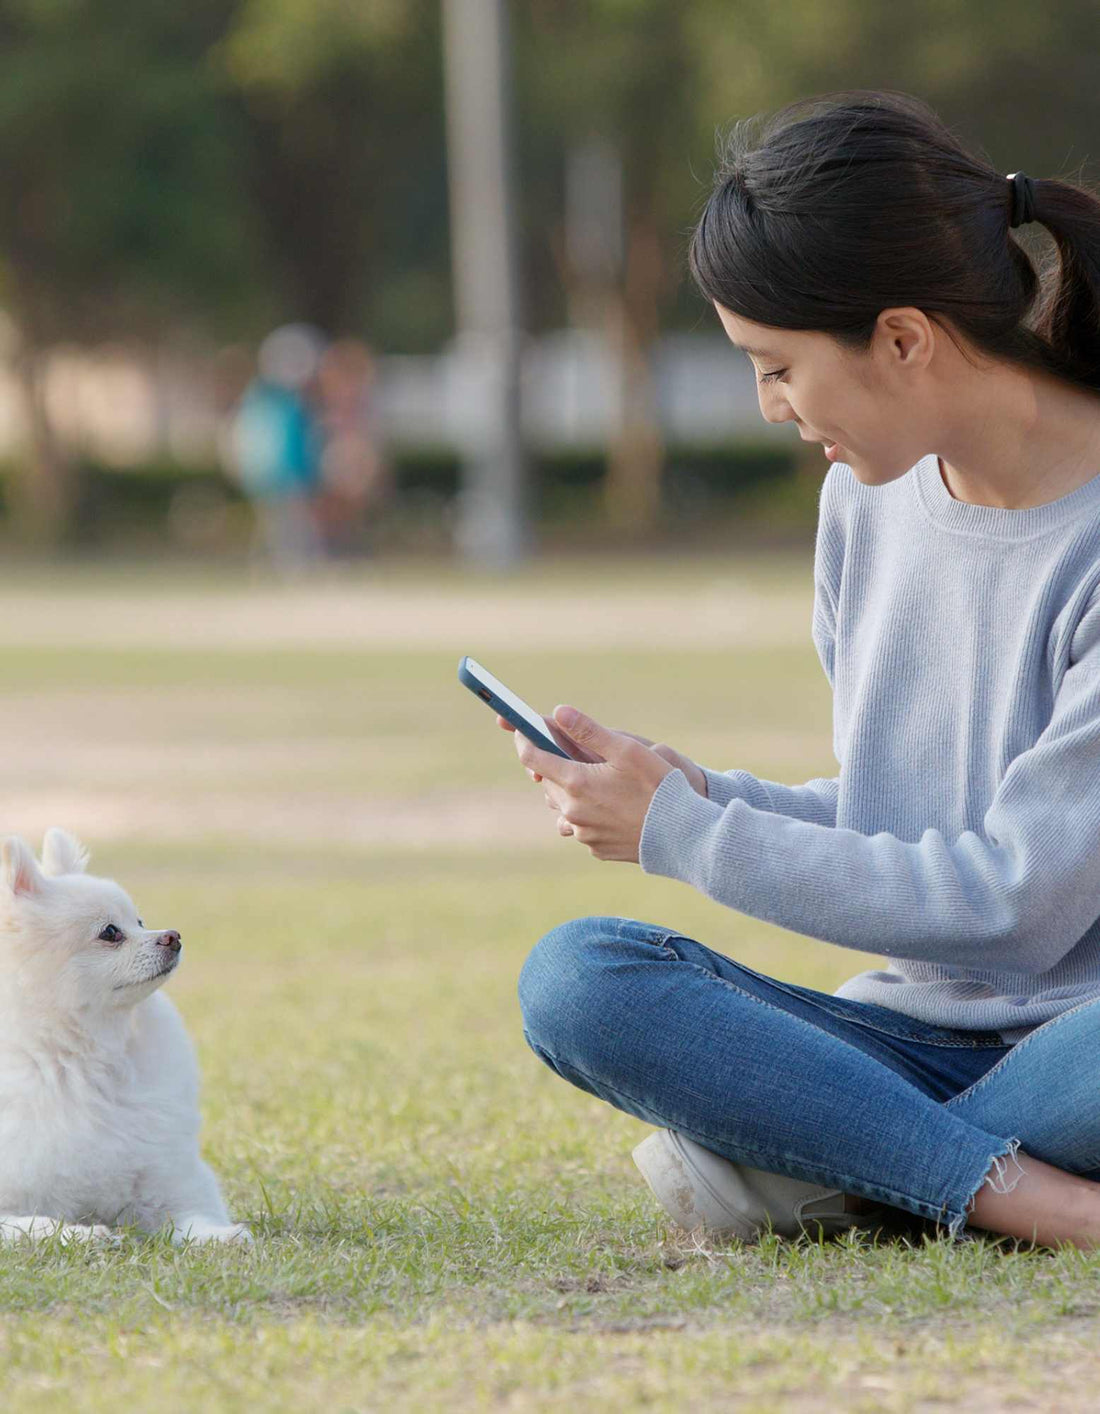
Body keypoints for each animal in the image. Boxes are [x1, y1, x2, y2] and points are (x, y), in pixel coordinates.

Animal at [0, 831, 248, 1244]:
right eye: (110, 933)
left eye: (140, 921)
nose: (173, 936)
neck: (85, 1058)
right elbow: (37, 1223)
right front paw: (83, 1235)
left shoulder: (160, 1173)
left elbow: (191, 1213)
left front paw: (217, 1235)